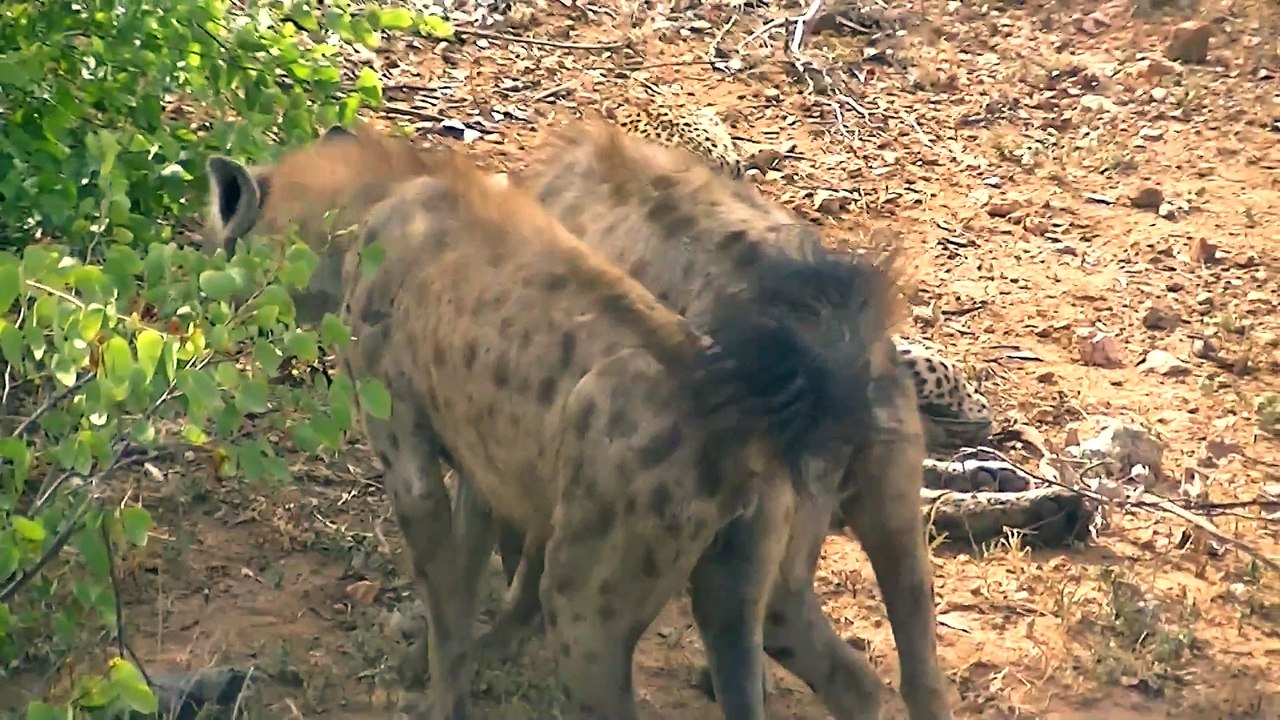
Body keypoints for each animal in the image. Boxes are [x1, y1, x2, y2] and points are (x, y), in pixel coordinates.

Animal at [201, 123, 907, 720]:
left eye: (211, 238)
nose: (201, 294)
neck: (364, 217)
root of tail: (742, 437)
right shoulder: (483, 460)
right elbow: (466, 571)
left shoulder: (406, 448)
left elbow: (446, 598)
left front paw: (436, 691)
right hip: (736, 584)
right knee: (822, 672)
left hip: (587, 603)